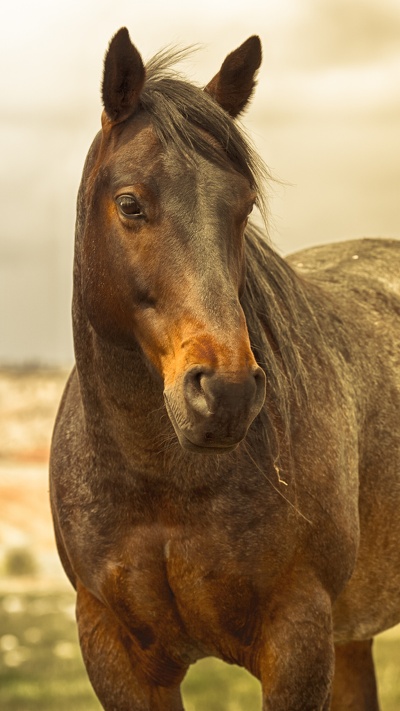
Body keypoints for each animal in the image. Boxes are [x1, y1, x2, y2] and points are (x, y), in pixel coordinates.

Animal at [50, 25, 400, 708]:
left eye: (243, 205)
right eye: (130, 203)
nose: (227, 394)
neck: (162, 481)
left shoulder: (297, 640)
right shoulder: (113, 648)